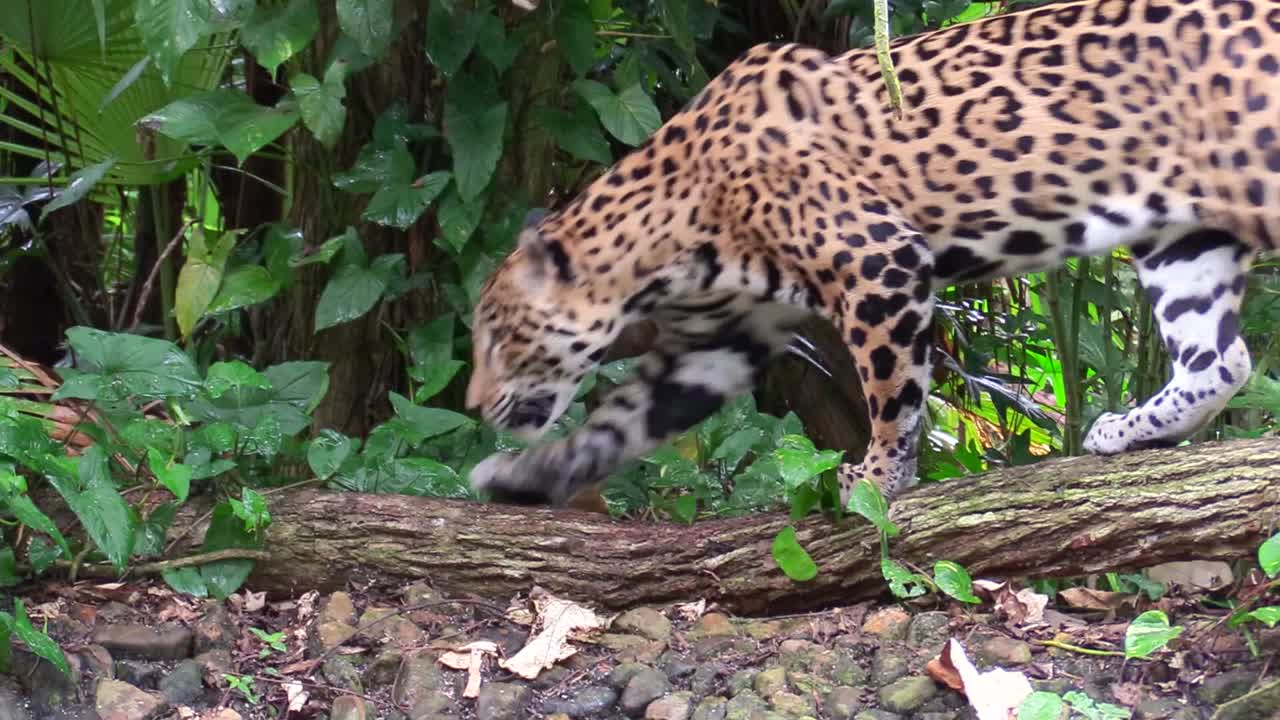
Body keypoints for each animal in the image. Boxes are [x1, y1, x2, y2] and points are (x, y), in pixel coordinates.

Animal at [464, 0, 1279, 512]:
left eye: (500, 338)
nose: (473, 404)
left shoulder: (878, 263)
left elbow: (892, 390)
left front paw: (879, 477)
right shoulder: (717, 339)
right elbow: (620, 421)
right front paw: (527, 477)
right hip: (1181, 237)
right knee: (1221, 359)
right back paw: (1135, 428)